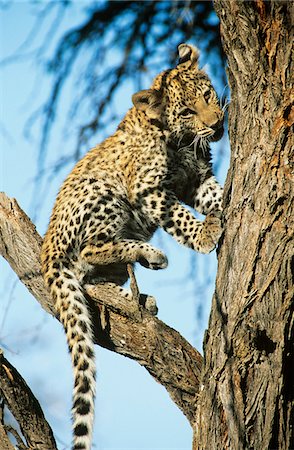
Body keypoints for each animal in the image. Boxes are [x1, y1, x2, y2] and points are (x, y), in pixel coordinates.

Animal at [41, 43, 224, 450]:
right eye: (187, 112)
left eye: (207, 95)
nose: (218, 124)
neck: (178, 140)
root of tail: (47, 252)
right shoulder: (148, 189)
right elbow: (179, 217)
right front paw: (205, 235)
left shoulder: (197, 179)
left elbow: (216, 196)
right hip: (102, 194)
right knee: (89, 251)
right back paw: (150, 255)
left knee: (91, 279)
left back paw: (141, 294)